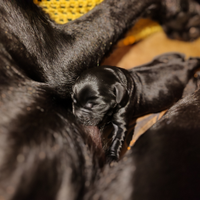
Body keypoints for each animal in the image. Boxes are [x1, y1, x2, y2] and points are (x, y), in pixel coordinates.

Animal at [72, 52, 200, 161]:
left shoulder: (122, 117)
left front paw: (112, 156)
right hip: (168, 58)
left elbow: (117, 137)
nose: (77, 116)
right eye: (73, 101)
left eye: (93, 104)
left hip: (189, 88)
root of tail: (186, 66)